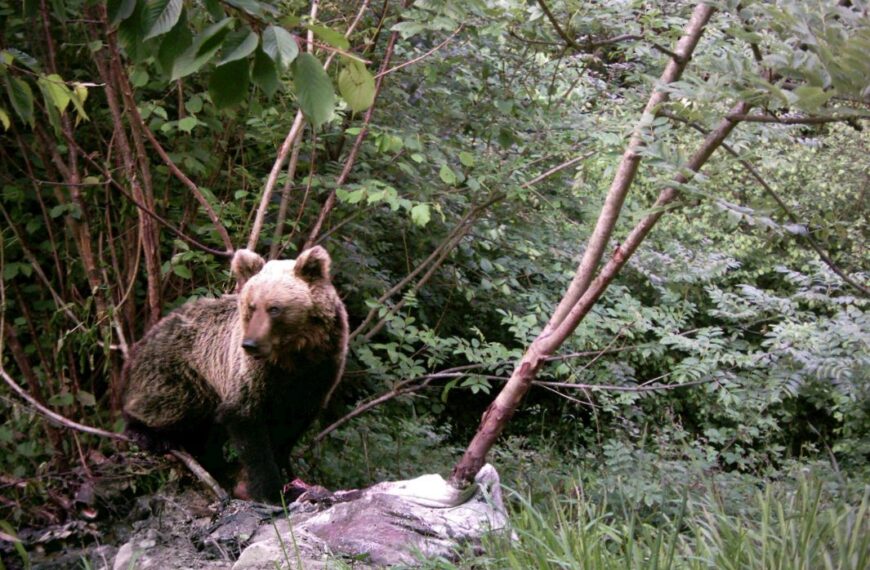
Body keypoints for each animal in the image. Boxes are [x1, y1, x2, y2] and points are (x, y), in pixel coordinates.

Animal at [120, 246, 348, 503]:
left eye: (274, 308)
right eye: (252, 306)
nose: (250, 344)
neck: (292, 356)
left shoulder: (319, 372)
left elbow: (288, 429)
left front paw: (288, 482)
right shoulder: (250, 374)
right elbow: (246, 423)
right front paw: (269, 490)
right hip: (182, 373)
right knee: (166, 404)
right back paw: (149, 434)